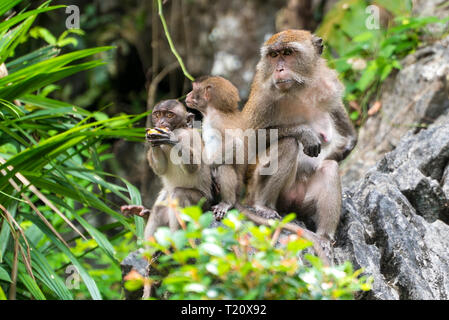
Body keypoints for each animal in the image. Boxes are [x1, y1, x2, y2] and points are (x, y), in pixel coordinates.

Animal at [242, 30, 356, 241]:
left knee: (329, 168)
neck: (299, 89)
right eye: (274, 55)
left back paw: (324, 236)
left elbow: (335, 105)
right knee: (288, 145)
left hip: (304, 201)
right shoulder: (263, 97)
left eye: (287, 53)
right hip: (261, 189)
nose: (279, 69)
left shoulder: (326, 81)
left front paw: (349, 142)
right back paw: (263, 205)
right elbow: (248, 139)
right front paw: (305, 133)